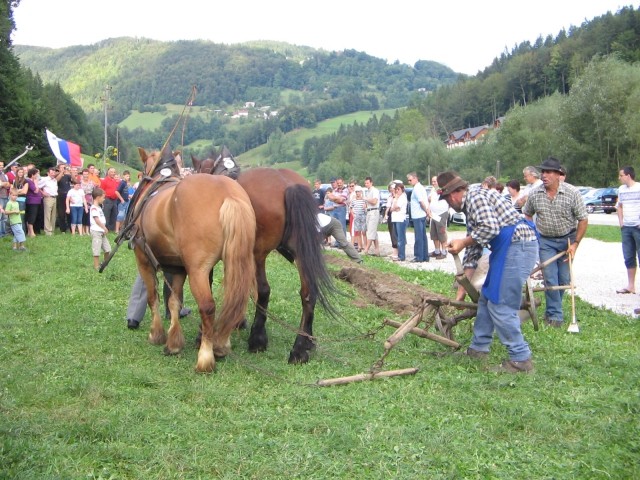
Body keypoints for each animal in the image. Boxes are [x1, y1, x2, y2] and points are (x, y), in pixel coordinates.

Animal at [131, 148, 256, 374]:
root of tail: (228, 194)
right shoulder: (177, 267)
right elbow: (174, 301)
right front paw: (173, 342)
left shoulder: (142, 258)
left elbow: (153, 297)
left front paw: (156, 334)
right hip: (237, 263)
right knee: (234, 300)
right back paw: (221, 345)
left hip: (197, 270)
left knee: (207, 306)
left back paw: (205, 358)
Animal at [192, 150, 338, 364]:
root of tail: (288, 184)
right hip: (300, 253)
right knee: (309, 293)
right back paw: (302, 346)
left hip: (258, 253)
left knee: (264, 290)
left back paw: (258, 339)